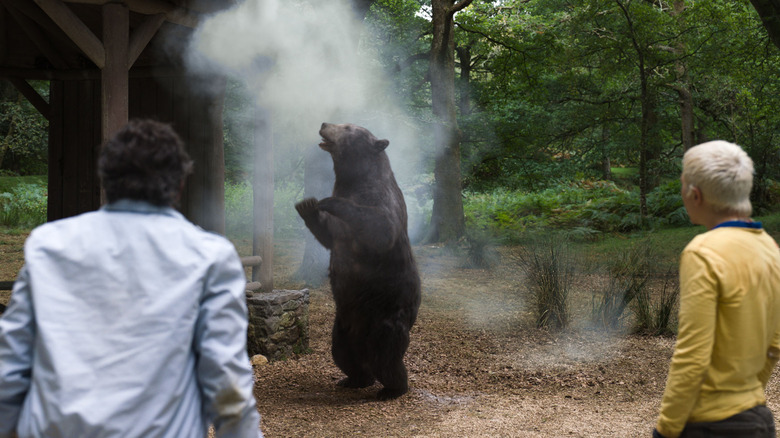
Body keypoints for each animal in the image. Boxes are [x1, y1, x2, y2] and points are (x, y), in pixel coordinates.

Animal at [296, 122, 424, 400]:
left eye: (347, 127)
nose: (324, 124)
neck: (354, 180)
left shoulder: (382, 201)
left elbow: (379, 227)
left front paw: (326, 201)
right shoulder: (339, 232)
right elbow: (328, 236)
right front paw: (307, 205)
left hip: (385, 318)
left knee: (387, 357)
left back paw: (392, 389)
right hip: (342, 325)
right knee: (343, 353)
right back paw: (353, 379)